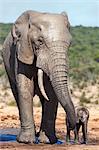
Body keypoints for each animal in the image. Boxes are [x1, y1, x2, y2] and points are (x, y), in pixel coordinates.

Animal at [1, 9, 75, 144]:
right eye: (40, 42)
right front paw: (26, 141)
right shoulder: (22, 49)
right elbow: (25, 89)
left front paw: (47, 141)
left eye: (70, 44)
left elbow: (51, 93)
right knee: (16, 93)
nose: (71, 125)